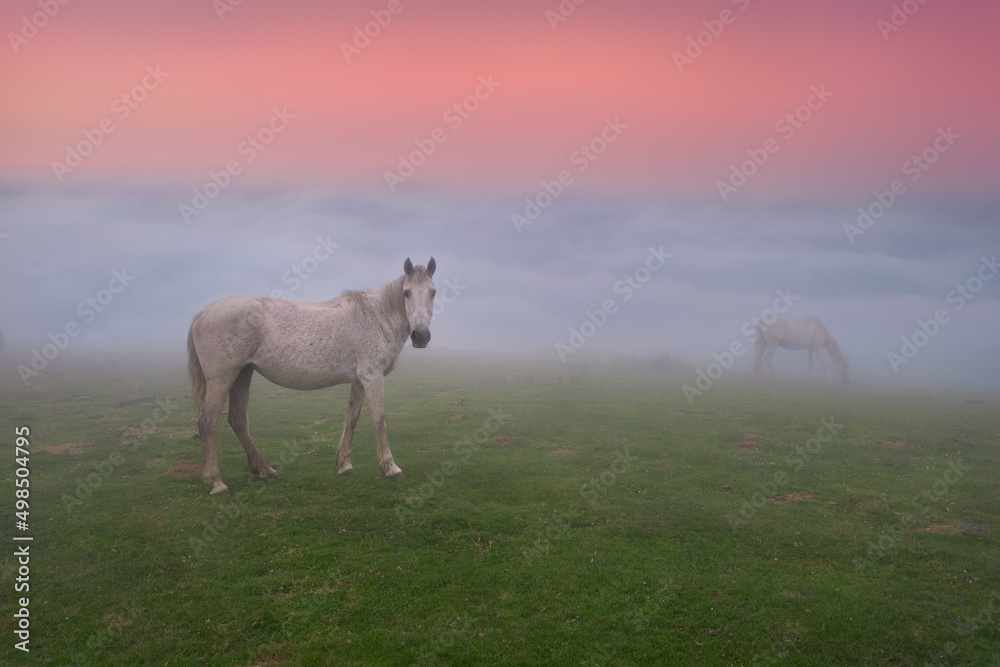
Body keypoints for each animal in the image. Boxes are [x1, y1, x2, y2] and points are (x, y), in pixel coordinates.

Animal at [187, 257, 436, 495]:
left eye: (433, 292)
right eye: (406, 292)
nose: (421, 336)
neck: (376, 316)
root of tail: (203, 313)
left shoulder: (359, 380)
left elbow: (351, 419)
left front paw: (345, 465)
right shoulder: (372, 377)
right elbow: (379, 421)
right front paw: (391, 468)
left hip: (242, 375)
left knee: (238, 420)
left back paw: (265, 470)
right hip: (222, 379)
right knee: (207, 422)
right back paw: (217, 483)